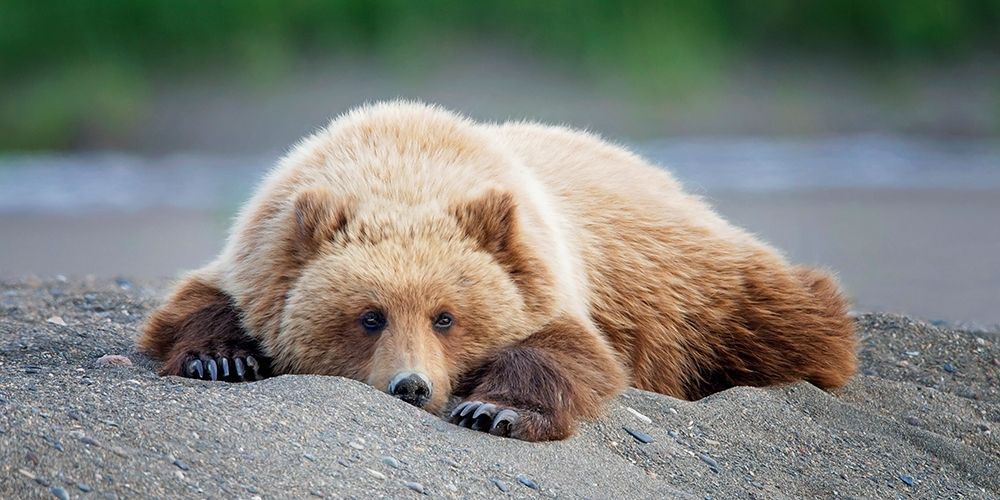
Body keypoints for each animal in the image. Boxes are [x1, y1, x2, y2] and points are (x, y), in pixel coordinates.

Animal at [138, 101, 857, 442]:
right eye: (369, 316)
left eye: (446, 316)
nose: (411, 385)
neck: (402, 163)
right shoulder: (261, 249)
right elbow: (196, 302)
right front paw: (221, 358)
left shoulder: (544, 271)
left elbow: (568, 353)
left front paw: (492, 410)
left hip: (687, 279)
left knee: (776, 315)